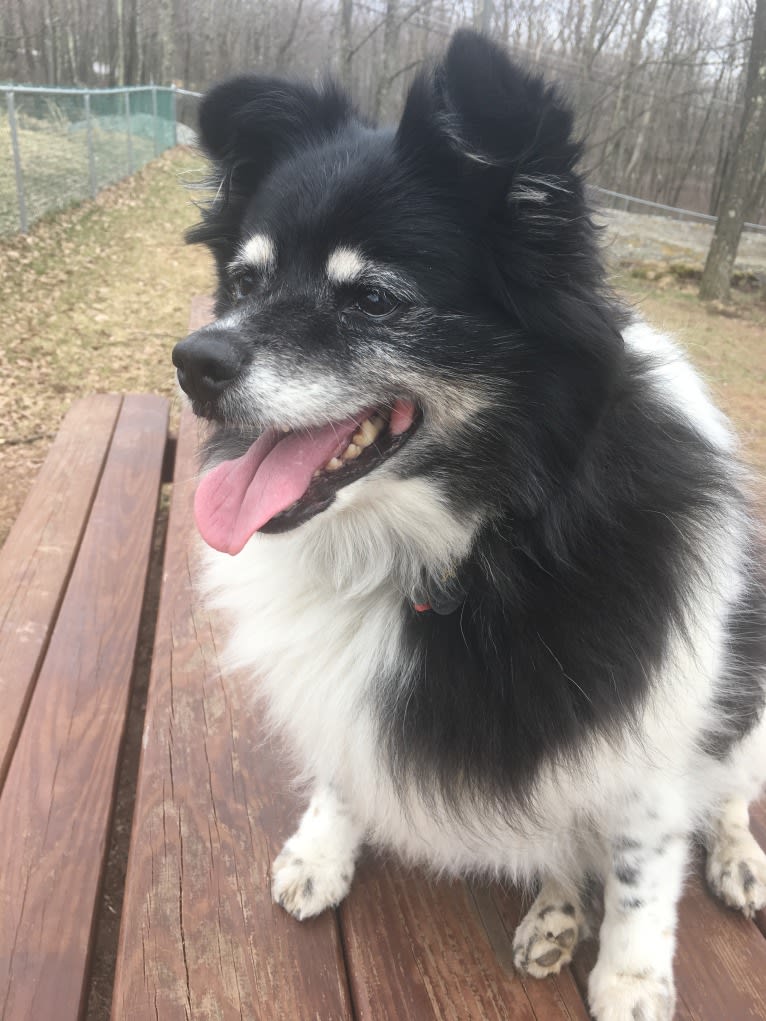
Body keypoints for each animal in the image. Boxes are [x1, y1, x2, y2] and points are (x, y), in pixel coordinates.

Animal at [173, 31, 766, 1021]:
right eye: (246, 280)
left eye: (373, 300)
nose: (193, 362)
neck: (464, 545)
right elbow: (342, 768)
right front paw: (323, 848)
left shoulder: (651, 732)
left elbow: (643, 867)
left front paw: (632, 978)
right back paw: (558, 909)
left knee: (722, 794)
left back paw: (731, 859)